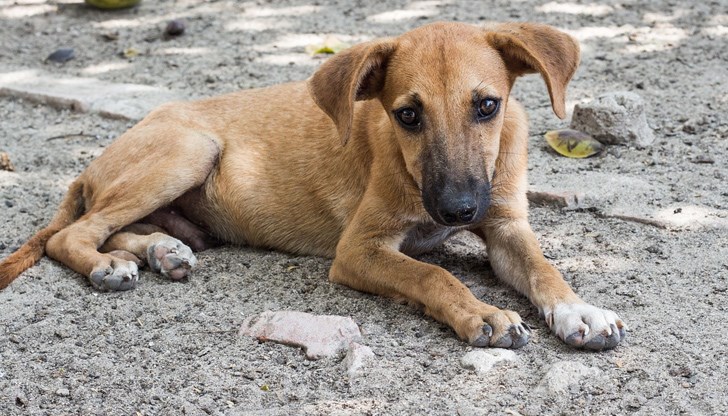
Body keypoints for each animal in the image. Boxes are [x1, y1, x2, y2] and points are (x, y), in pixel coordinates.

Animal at [0, 21, 624, 350]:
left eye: (488, 106)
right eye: (407, 115)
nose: (458, 210)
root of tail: (89, 166)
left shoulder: (507, 227)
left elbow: (545, 269)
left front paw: (580, 310)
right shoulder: (359, 250)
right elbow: (432, 274)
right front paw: (483, 313)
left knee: (121, 228)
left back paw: (162, 250)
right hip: (189, 149)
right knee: (73, 235)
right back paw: (110, 266)